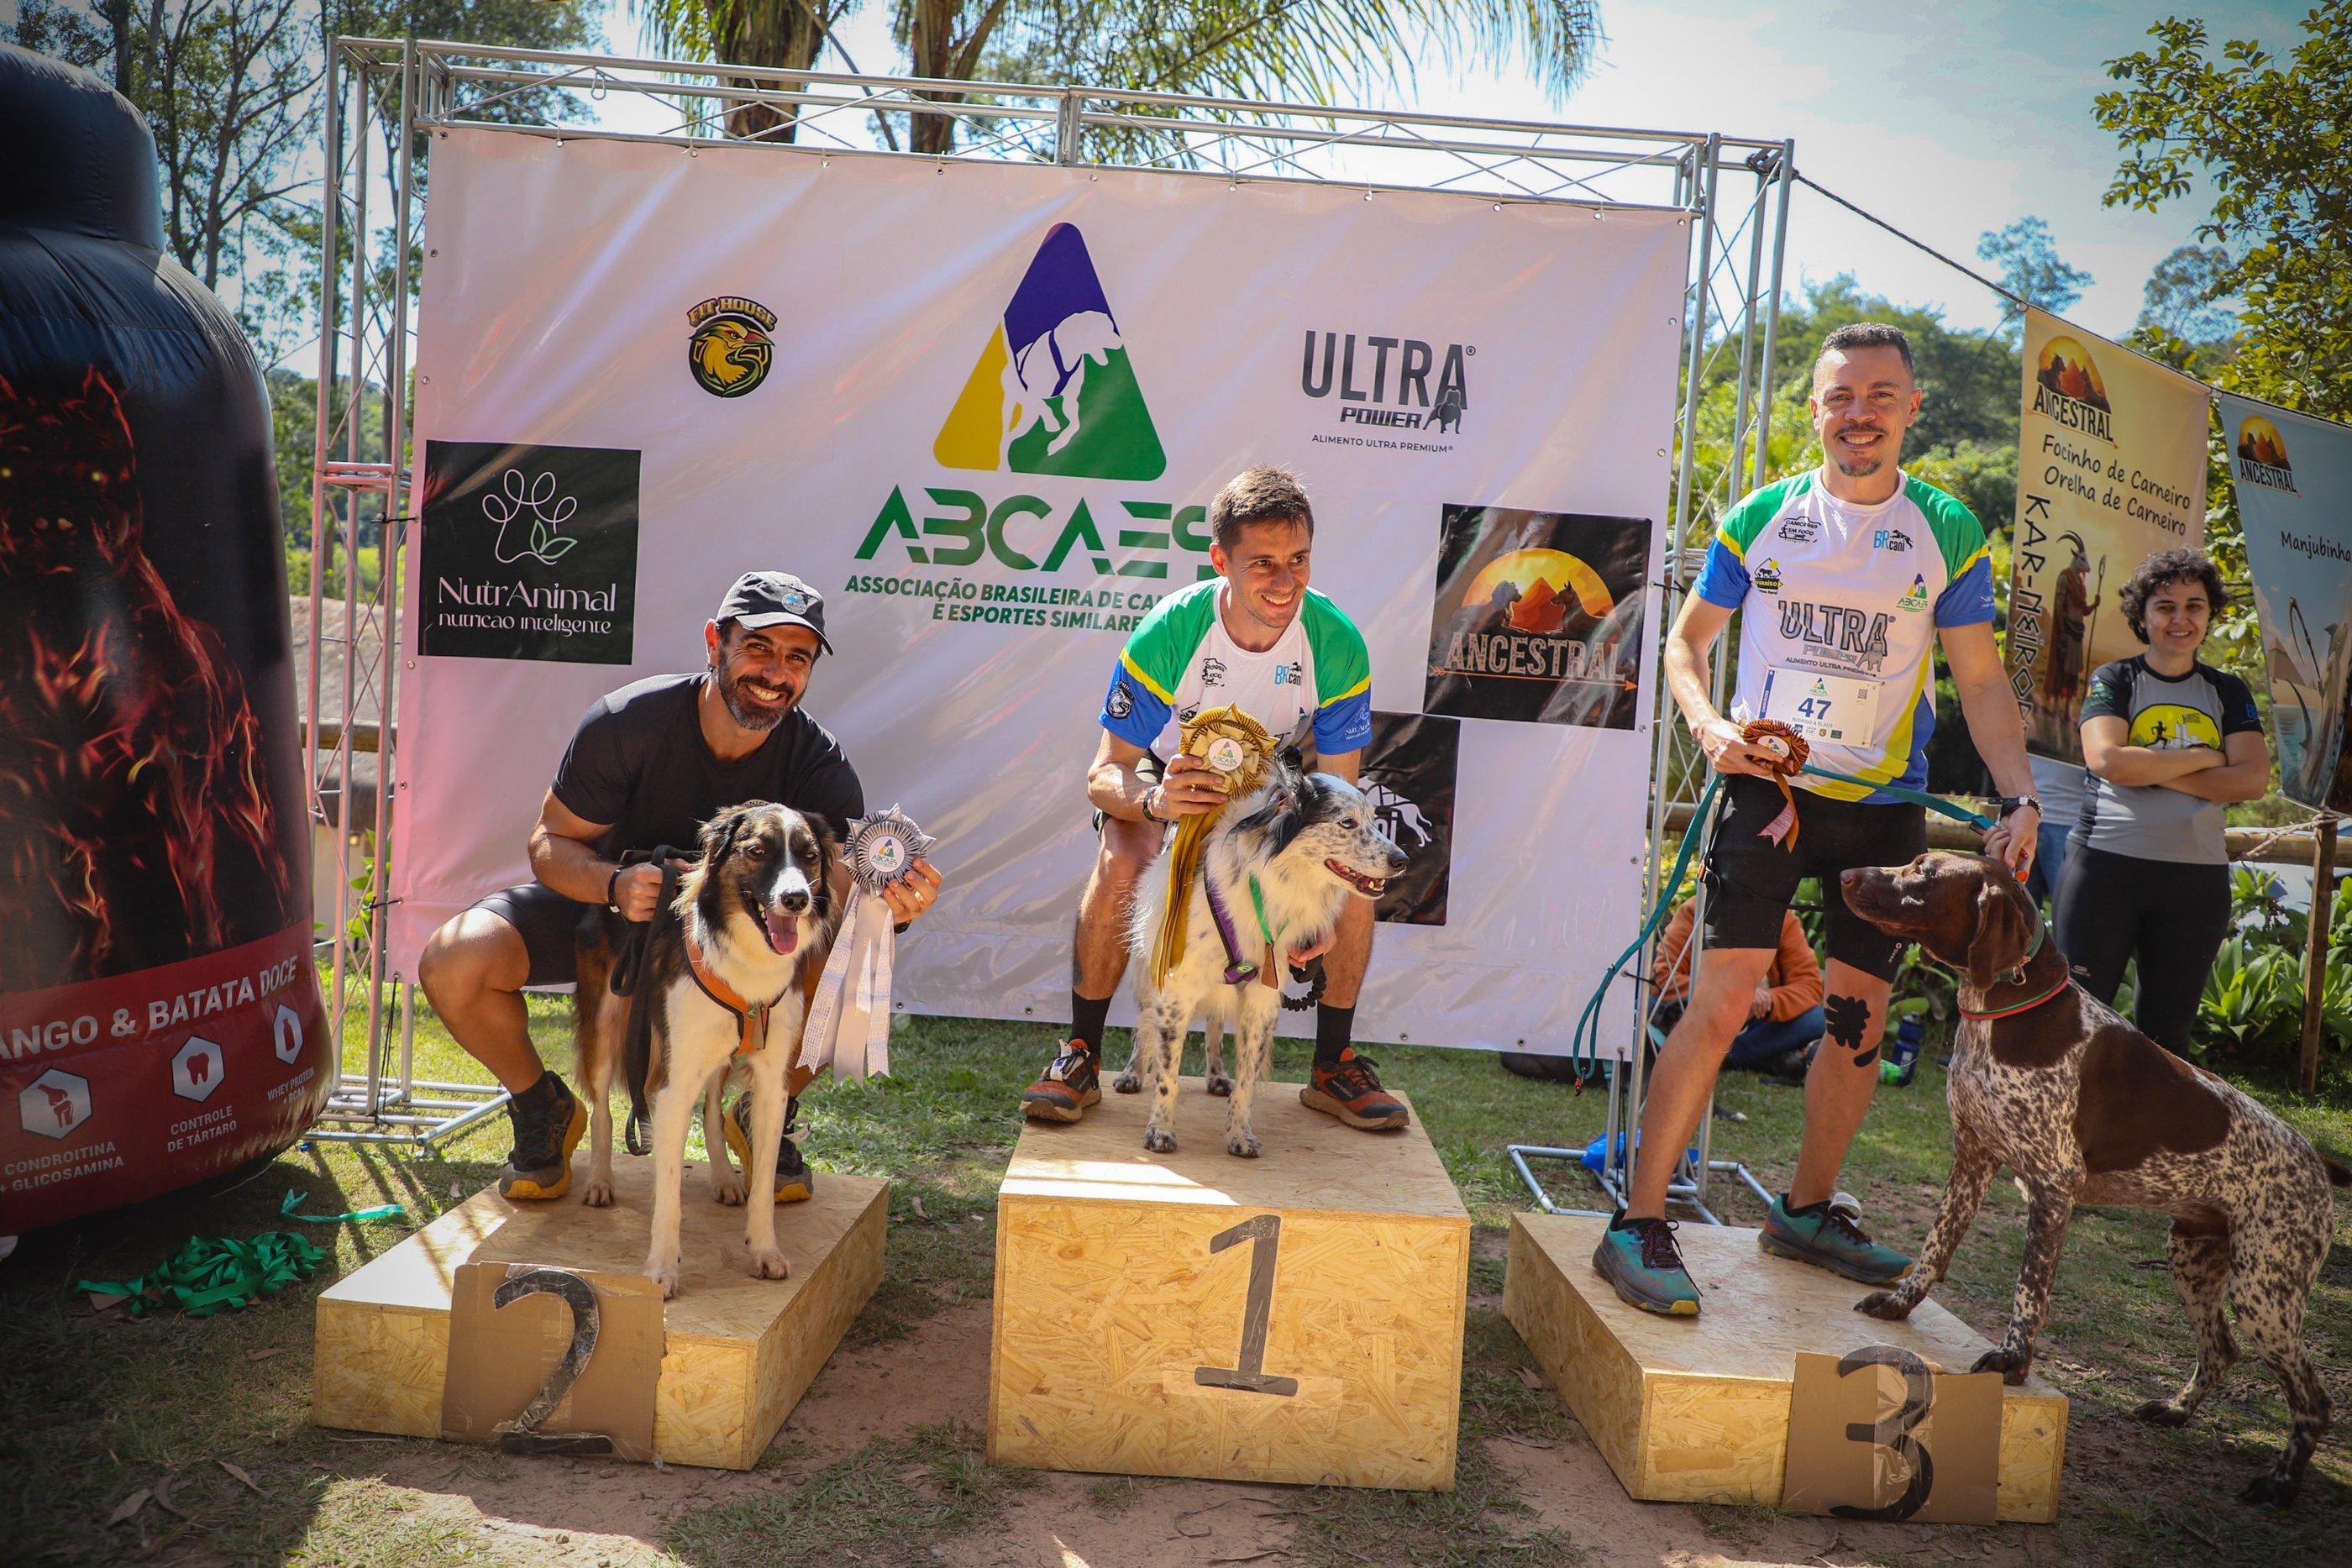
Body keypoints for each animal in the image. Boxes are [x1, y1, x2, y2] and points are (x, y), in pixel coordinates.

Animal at [572, 802, 845, 1298]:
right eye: (757, 851)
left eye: (811, 857)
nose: (796, 899)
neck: (748, 959)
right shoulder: (672, 1083)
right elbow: (669, 1193)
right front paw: (662, 1269)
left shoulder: (773, 1082)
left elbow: (762, 1184)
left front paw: (763, 1250)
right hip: (605, 1024)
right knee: (601, 1109)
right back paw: (600, 1180)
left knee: (714, 1109)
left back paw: (722, 1177)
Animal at [1125, 756, 1407, 1157]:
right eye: (1346, 822)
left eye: (1373, 819)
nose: (1403, 860)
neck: (1271, 883)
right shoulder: (1177, 990)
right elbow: (1168, 1071)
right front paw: (1160, 1130)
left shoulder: (1262, 996)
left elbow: (1246, 1077)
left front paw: (1240, 1134)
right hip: (1146, 969)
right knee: (1143, 1025)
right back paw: (1132, 1073)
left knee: (1214, 1027)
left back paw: (1216, 1075)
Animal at [1842, 851, 2351, 1505]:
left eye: (1926, 874)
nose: (1847, 876)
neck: (2004, 1009)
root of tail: (2319, 1162)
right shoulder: (1971, 1158)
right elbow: (1935, 1248)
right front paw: (1901, 1304)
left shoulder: (2052, 1188)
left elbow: (2029, 1292)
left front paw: (2012, 1364)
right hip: (2195, 1258)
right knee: (2221, 1349)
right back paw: (2177, 1410)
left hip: (2265, 1291)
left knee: (2314, 1400)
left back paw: (2281, 1482)